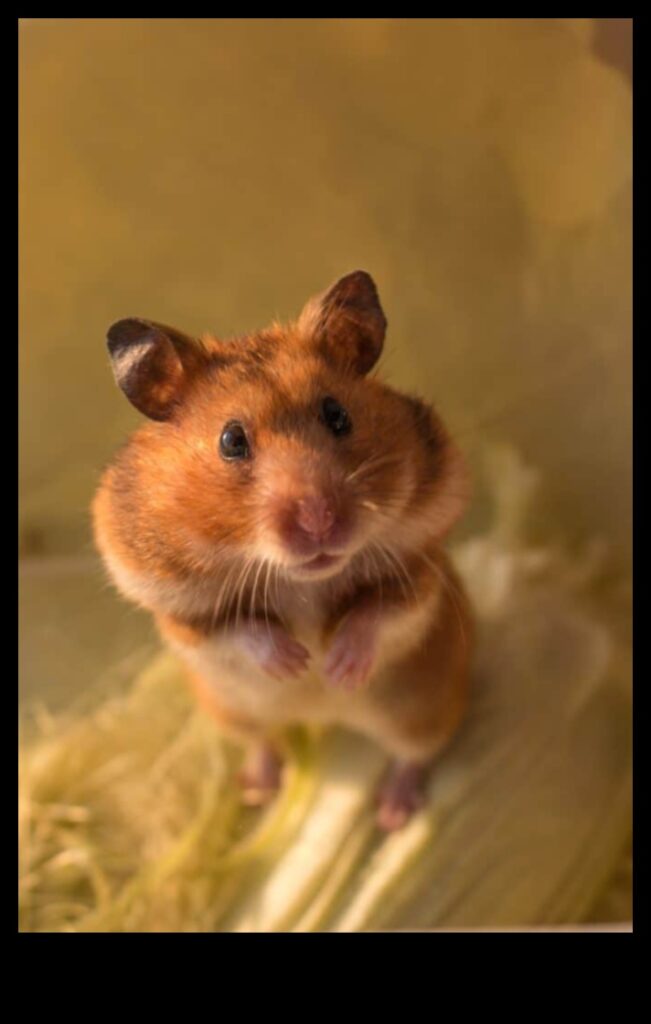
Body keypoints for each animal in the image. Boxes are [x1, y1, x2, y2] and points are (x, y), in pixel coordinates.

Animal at [92, 271, 472, 831]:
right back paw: (256, 787)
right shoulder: (180, 613)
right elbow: (239, 630)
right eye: (231, 440)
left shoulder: (419, 569)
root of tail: (320, 720)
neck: (299, 579)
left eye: (337, 415)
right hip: (233, 712)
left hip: (420, 705)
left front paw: (335, 666)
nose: (319, 521)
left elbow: (377, 612)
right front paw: (296, 662)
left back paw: (393, 813)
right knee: (265, 743)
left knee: (414, 754)